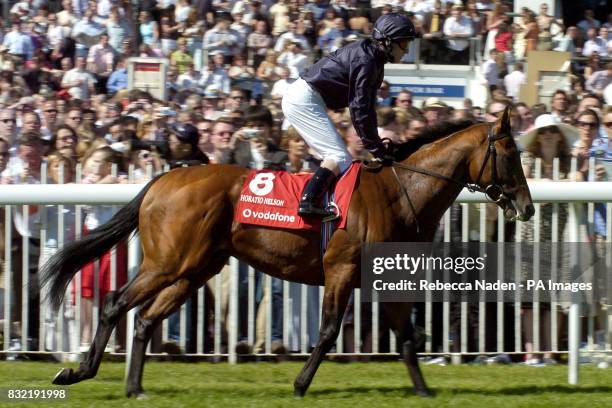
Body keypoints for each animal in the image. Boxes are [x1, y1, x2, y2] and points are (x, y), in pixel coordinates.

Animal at [41, 108, 532, 398]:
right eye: (510, 155)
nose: (526, 207)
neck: (400, 191)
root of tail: (165, 177)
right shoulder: (341, 269)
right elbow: (329, 331)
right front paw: (299, 384)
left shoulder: (385, 276)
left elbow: (408, 337)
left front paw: (426, 392)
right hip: (168, 262)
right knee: (114, 303)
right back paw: (78, 372)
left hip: (195, 269)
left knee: (144, 319)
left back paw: (135, 387)